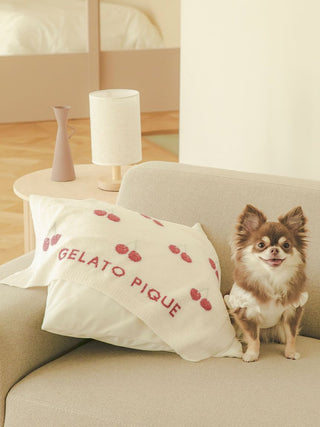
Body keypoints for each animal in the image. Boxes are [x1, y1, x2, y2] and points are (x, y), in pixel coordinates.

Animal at [224, 204, 308, 362]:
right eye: (261, 244)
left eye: (286, 245)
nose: (274, 249)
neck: (272, 277)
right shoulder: (247, 312)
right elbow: (253, 337)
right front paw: (252, 354)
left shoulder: (292, 311)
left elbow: (291, 335)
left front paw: (290, 353)